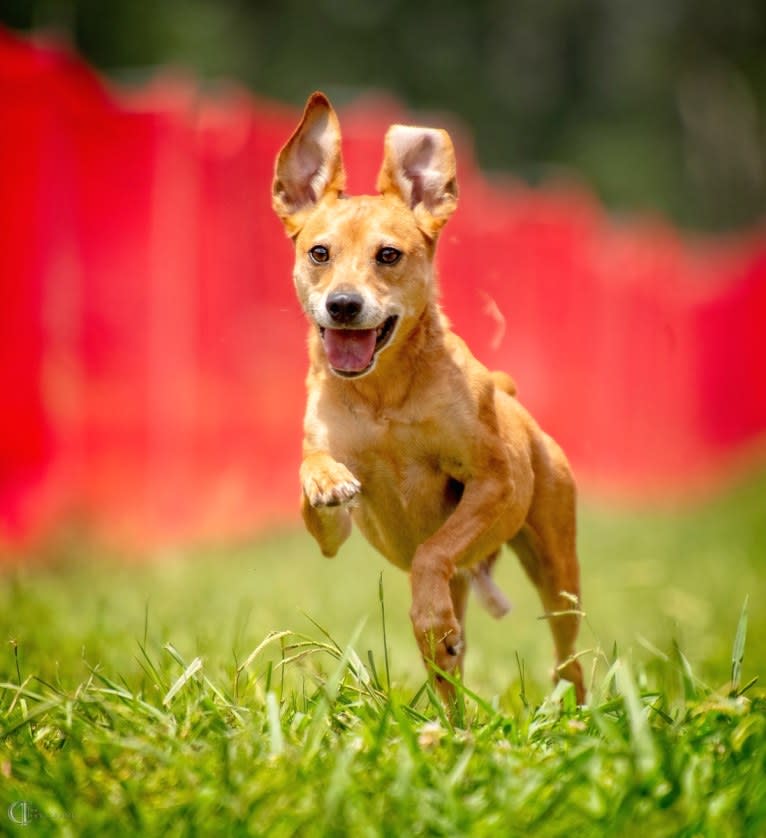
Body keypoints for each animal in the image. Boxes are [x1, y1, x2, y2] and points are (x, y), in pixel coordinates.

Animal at [274, 93, 588, 708]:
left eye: (389, 255)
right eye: (319, 252)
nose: (343, 305)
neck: (383, 396)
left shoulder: (496, 483)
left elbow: (432, 552)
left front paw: (430, 615)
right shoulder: (333, 533)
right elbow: (313, 477)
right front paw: (325, 478)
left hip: (555, 560)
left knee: (568, 653)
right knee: (450, 666)